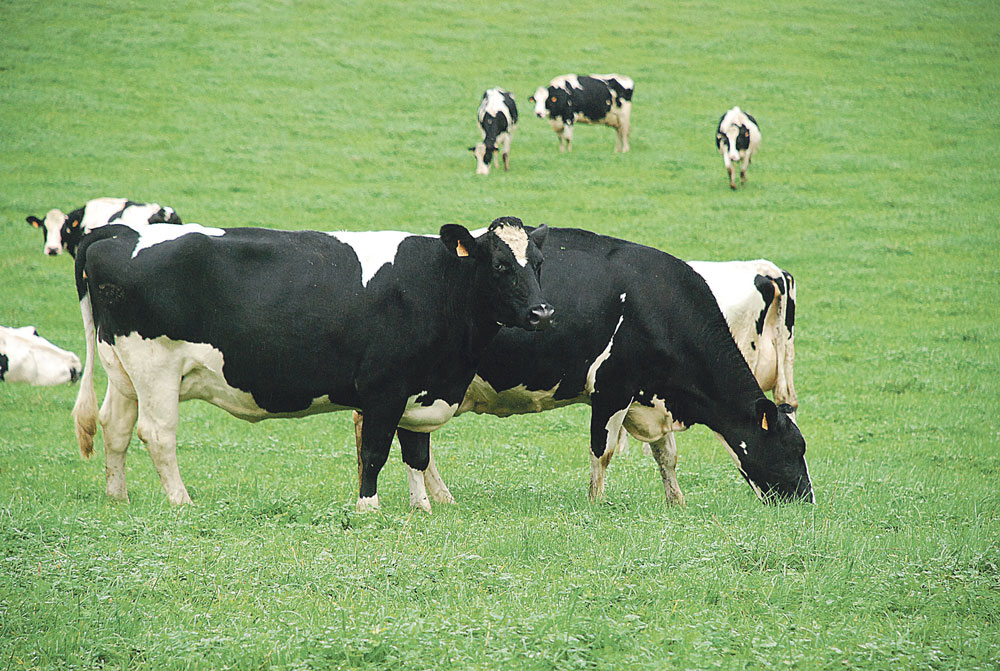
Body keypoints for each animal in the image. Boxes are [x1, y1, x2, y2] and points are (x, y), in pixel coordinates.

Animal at [73, 218, 552, 512]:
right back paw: (181, 501)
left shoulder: (422, 389)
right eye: (500, 265)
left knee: (115, 426)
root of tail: (115, 232)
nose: (542, 312)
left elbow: (416, 452)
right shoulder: (385, 387)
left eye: (540, 264)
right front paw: (368, 507)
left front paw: (421, 508)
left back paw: (118, 497)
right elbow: (375, 450)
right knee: (157, 433)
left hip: (124, 369)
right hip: (155, 366)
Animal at [358, 226, 812, 510]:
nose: (806, 501)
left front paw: (677, 501)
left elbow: (666, 455)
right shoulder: (612, 386)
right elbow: (603, 450)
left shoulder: (649, 397)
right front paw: (596, 502)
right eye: (794, 449)